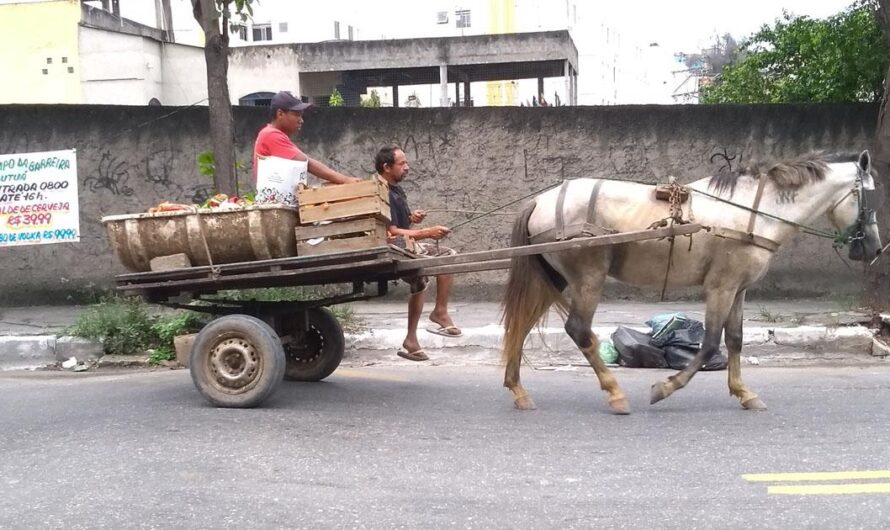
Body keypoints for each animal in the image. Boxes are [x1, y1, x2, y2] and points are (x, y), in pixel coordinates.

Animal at [500, 150, 880, 412]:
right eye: (872, 197)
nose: (875, 249)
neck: (755, 212)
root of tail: (540, 200)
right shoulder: (721, 287)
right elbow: (711, 343)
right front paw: (665, 387)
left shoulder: (738, 288)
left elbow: (736, 340)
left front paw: (744, 393)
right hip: (588, 277)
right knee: (578, 330)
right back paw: (614, 392)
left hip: (555, 279)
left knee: (521, 325)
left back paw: (518, 389)